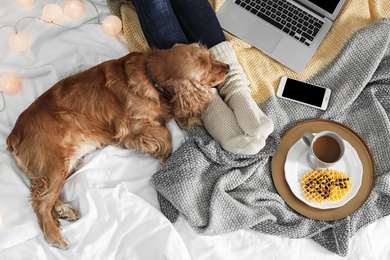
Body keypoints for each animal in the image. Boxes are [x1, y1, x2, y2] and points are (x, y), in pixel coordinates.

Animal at [6, 43, 229, 250]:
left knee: (40, 194)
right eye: (206, 72)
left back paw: (63, 210)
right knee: (40, 203)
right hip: (55, 164)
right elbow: (164, 133)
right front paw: (164, 154)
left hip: (66, 165)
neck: (150, 74)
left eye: (211, 57)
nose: (227, 67)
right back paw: (55, 235)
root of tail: (13, 135)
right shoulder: (131, 129)